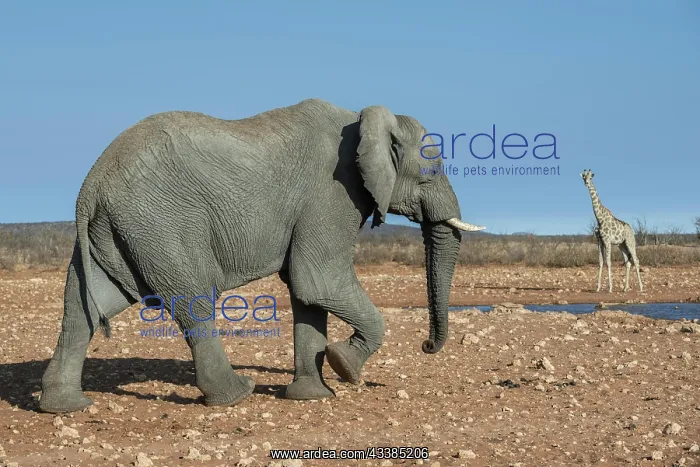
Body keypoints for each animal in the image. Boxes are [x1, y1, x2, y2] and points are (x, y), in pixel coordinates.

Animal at [39, 98, 485, 413]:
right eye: (430, 174)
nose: (426, 346)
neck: (364, 118)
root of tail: (91, 184)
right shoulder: (332, 192)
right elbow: (317, 279)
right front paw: (344, 366)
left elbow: (307, 294)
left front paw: (312, 396)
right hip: (161, 221)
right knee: (195, 300)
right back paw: (237, 395)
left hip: (119, 231)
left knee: (85, 304)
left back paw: (65, 406)